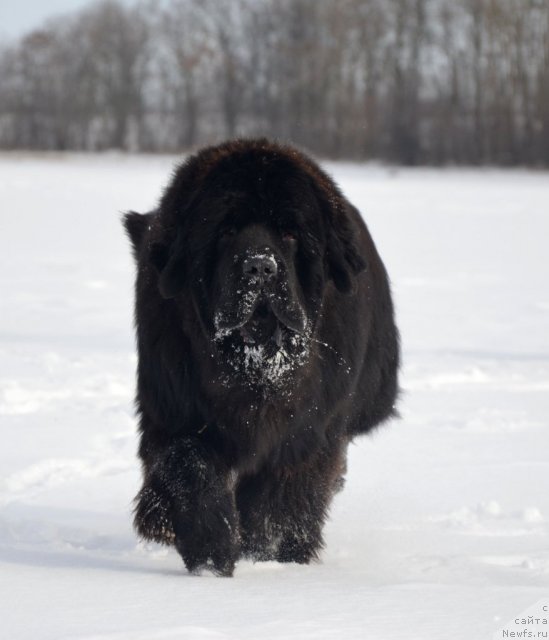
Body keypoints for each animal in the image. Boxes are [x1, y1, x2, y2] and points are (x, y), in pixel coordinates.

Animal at [124, 138, 398, 576]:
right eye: (226, 231)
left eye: (289, 233)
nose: (259, 267)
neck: (255, 365)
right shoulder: (178, 409)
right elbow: (191, 470)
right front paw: (210, 556)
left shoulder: (307, 432)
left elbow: (280, 502)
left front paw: (269, 556)